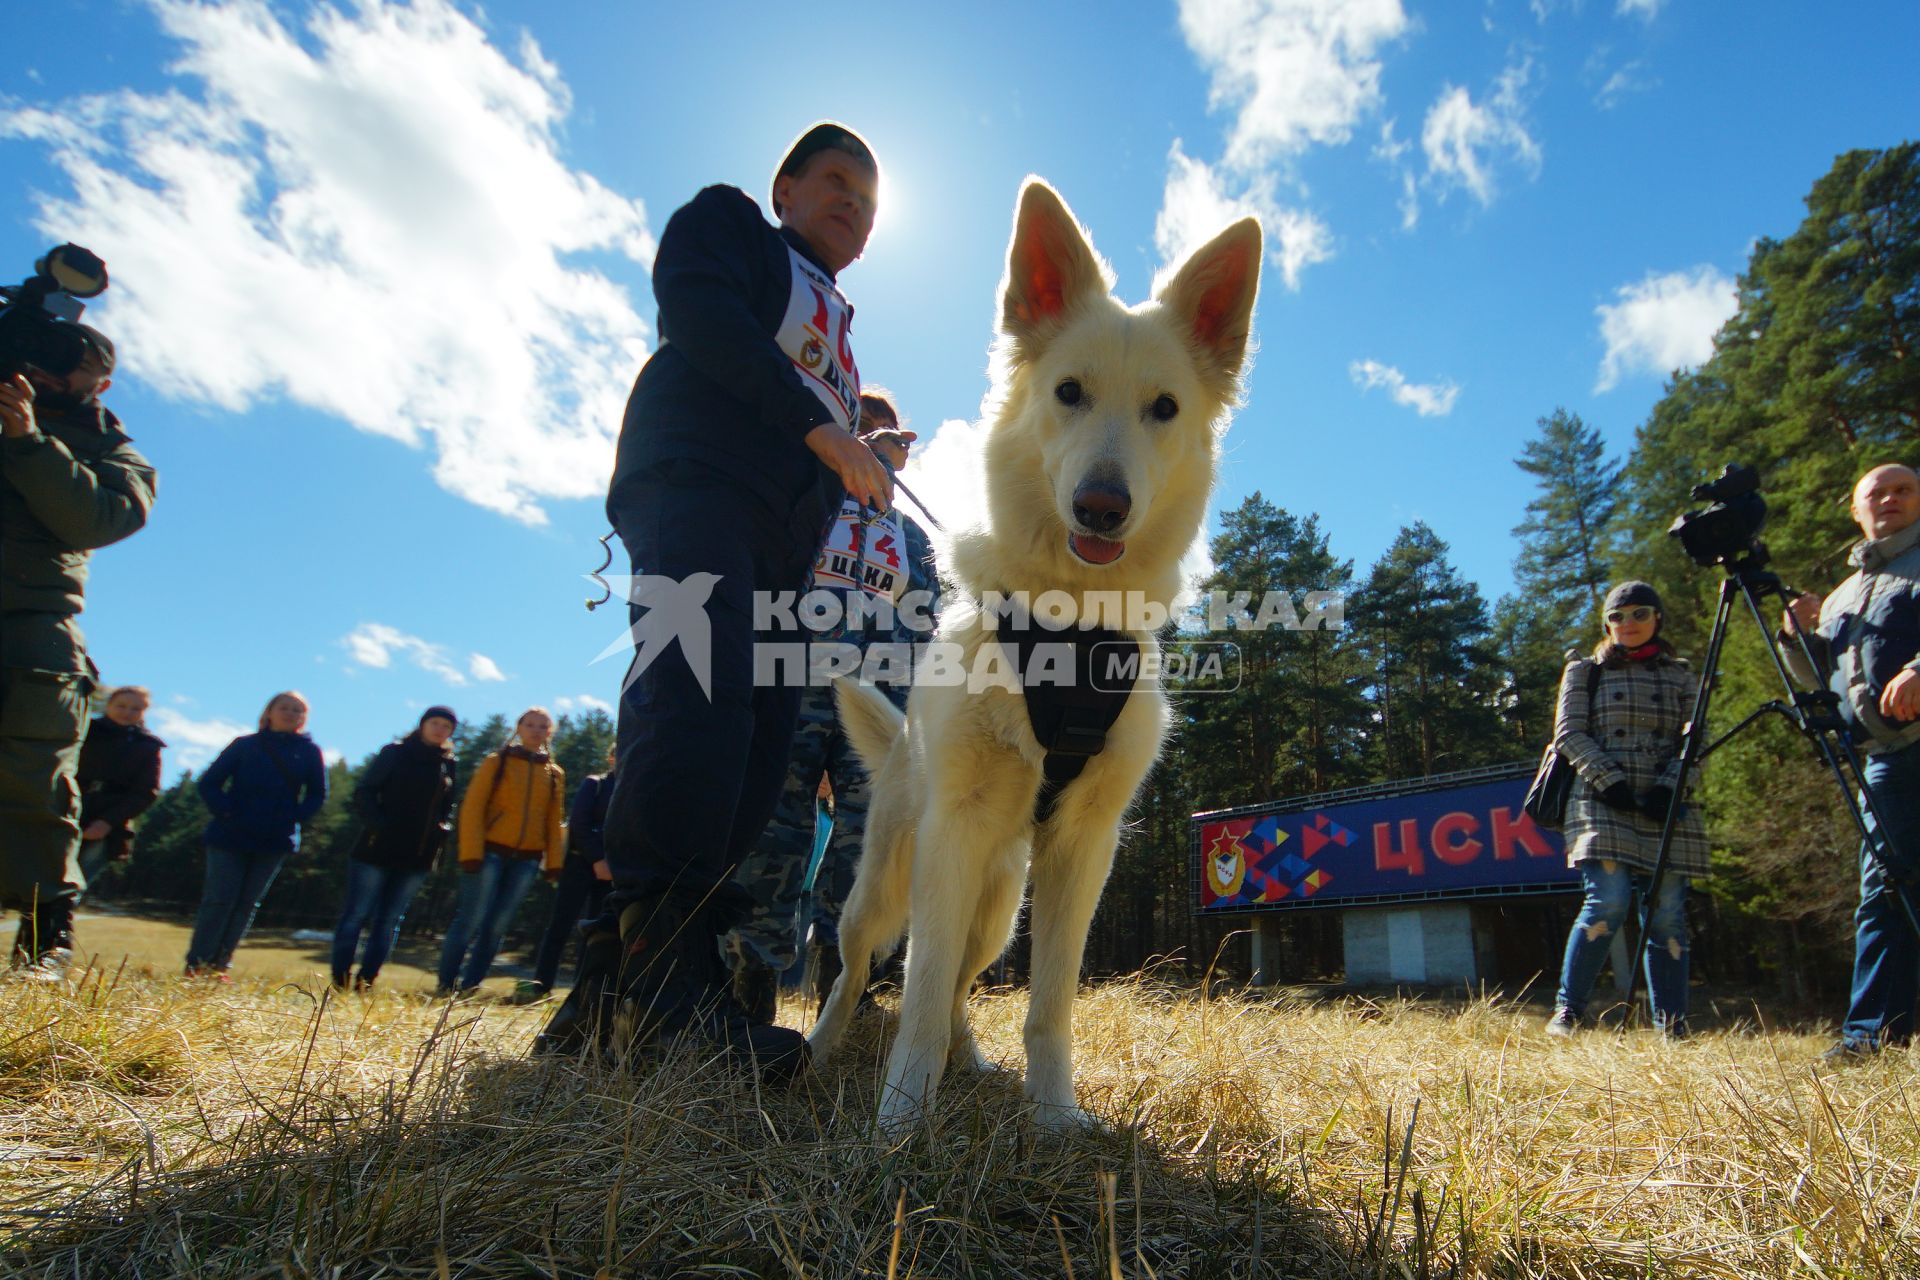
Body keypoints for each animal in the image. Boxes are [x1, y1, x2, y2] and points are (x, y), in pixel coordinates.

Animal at [810, 177, 1259, 1128]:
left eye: (1164, 408)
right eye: (1069, 391)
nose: (1101, 507)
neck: (1068, 620)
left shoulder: (1083, 850)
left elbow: (1048, 1003)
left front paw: (1051, 1115)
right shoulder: (953, 834)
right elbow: (915, 994)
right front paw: (897, 1125)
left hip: (1000, 911)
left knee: (953, 984)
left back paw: (972, 1062)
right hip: (886, 888)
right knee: (864, 970)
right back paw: (821, 1050)